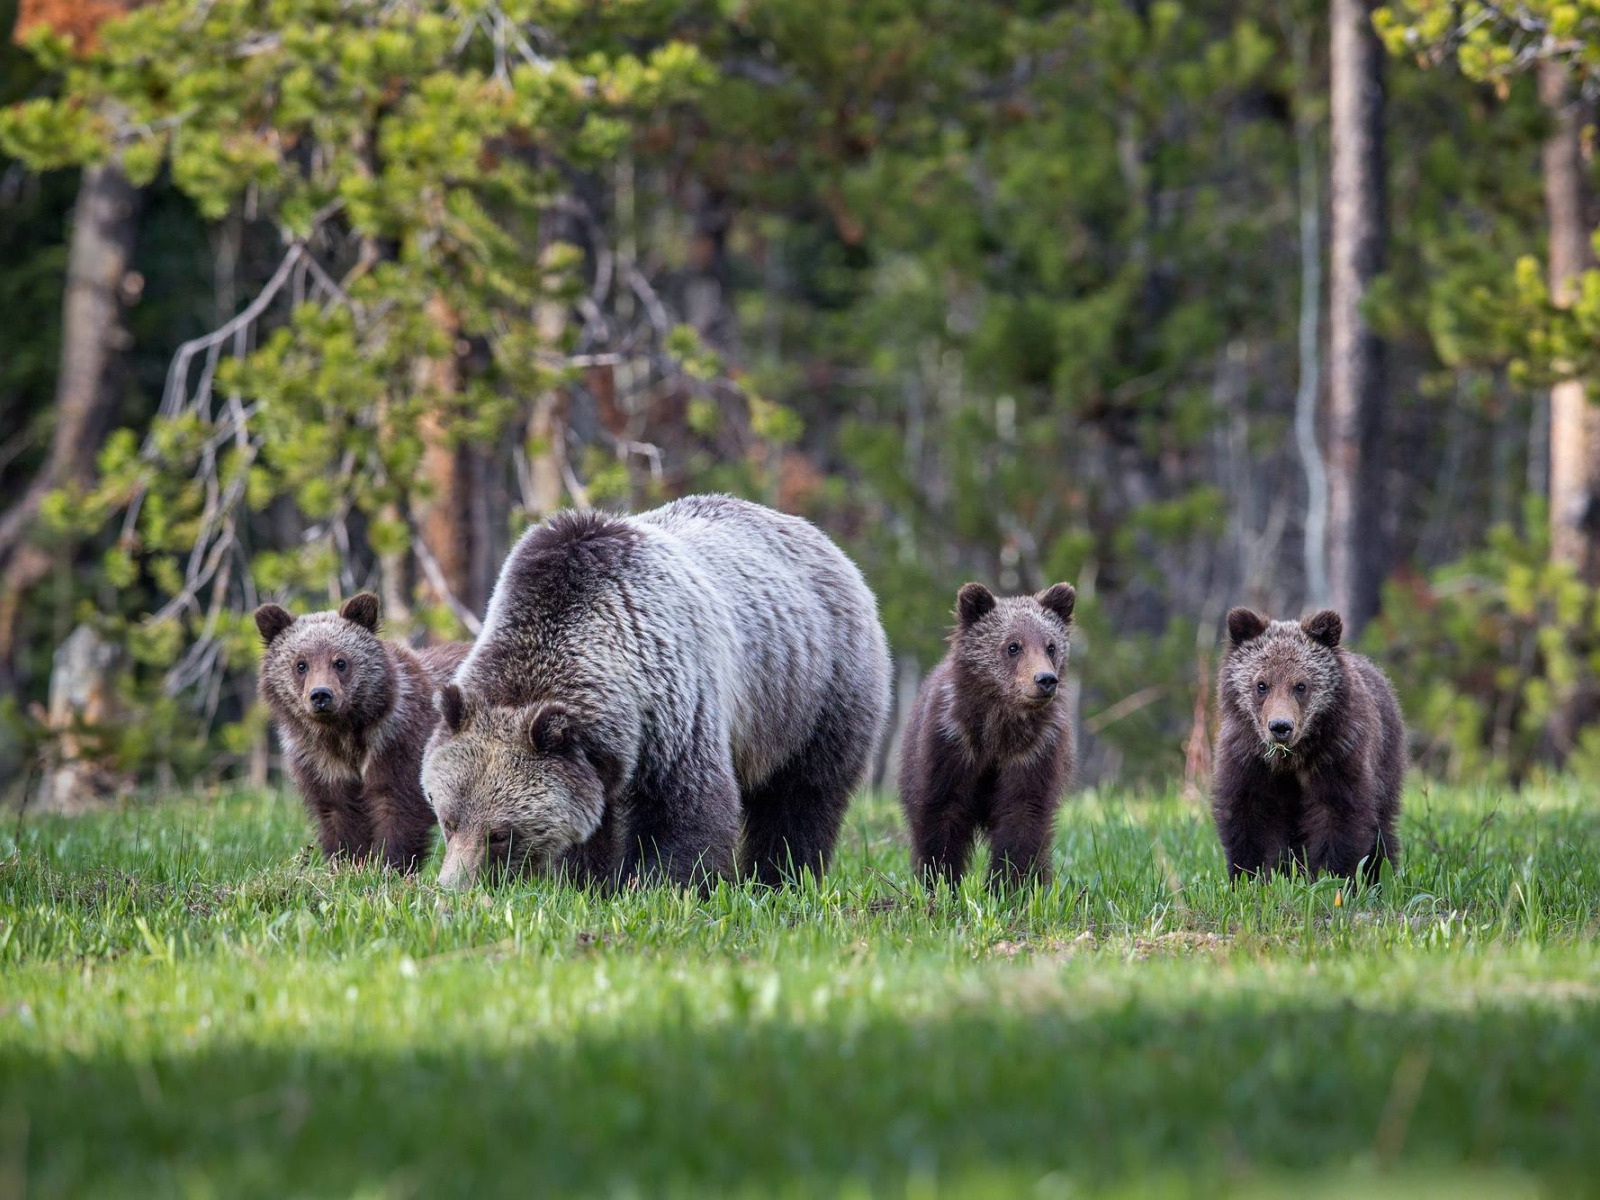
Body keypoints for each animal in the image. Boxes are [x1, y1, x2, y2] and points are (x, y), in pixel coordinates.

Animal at [252, 598, 467, 876]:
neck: (344, 734)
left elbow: (398, 807)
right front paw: (348, 864)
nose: (321, 695)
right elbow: (339, 813)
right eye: (301, 664)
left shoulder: (398, 745)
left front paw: (389, 866)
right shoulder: (321, 762)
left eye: (340, 661)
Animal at [419, 496, 896, 896]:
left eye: (500, 833)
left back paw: (781, 880)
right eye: (447, 819)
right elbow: (592, 823)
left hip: (814, 689)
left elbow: (686, 810)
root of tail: (821, 539)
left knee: (802, 797)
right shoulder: (596, 755)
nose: (451, 889)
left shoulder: (674, 701)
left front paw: (660, 888)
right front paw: (586, 883)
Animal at [902, 582, 1075, 896]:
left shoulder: (1034, 750)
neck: (999, 730)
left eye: (1051, 646)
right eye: (1013, 646)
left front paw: (1008, 887)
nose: (1045, 680)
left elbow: (1023, 816)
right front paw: (941, 883)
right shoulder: (952, 740)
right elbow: (941, 812)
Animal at [1209, 611, 1401, 883]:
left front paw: (1332, 876)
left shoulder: (1338, 753)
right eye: (1261, 684)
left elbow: (1340, 815)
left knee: (1382, 824)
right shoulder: (1248, 759)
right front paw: (1248, 877)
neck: (1291, 759)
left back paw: (1378, 874)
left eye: (1301, 685)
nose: (1280, 726)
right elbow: (1246, 817)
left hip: (1385, 759)